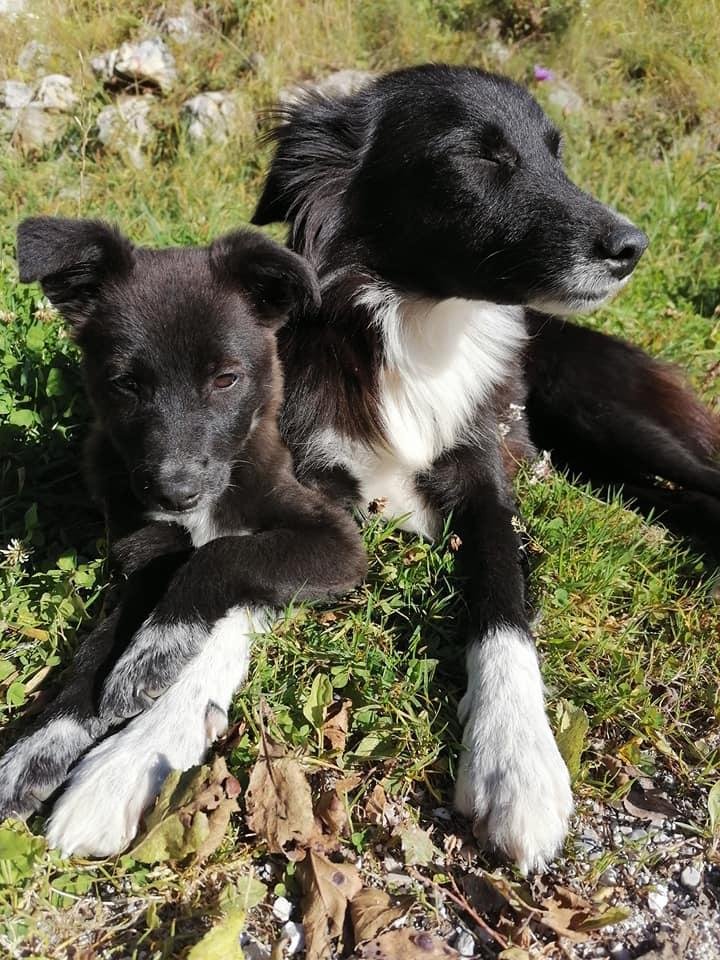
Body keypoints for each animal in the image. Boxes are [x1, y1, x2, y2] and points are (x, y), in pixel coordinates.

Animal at [0, 219, 366, 856]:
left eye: (225, 379)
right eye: (126, 384)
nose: (177, 492)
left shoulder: (337, 542)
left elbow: (224, 552)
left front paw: (155, 648)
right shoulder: (141, 550)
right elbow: (96, 651)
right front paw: (41, 745)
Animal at [249, 63, 720, 872]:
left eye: (555, 154)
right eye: (478, 156)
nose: (633, 246)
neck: (418, 329)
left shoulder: (483, 485)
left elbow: (503, 601)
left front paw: (516, 762)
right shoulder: (310, 476)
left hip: (605, 409)